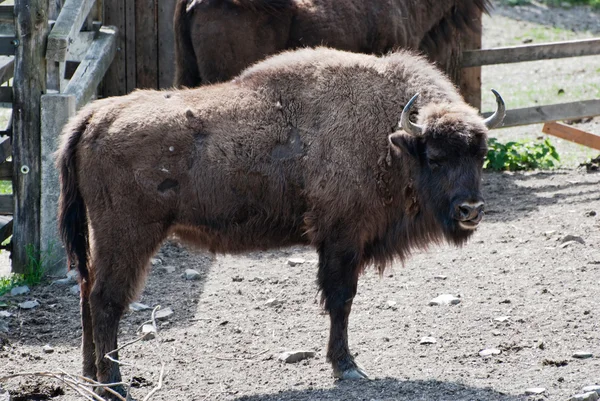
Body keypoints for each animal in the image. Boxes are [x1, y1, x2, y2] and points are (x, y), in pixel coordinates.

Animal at [58, 47, 504, 396]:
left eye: (479, 154)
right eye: (436, 157)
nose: (471, 210)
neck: (390, 139)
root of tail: (97, 114)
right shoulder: (342, 237)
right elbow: (341, 299)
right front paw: (347, 367)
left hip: (102, 238)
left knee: (86, 292)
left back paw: (91, 375)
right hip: (129, 237)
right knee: (106, 299)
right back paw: (114, 385)